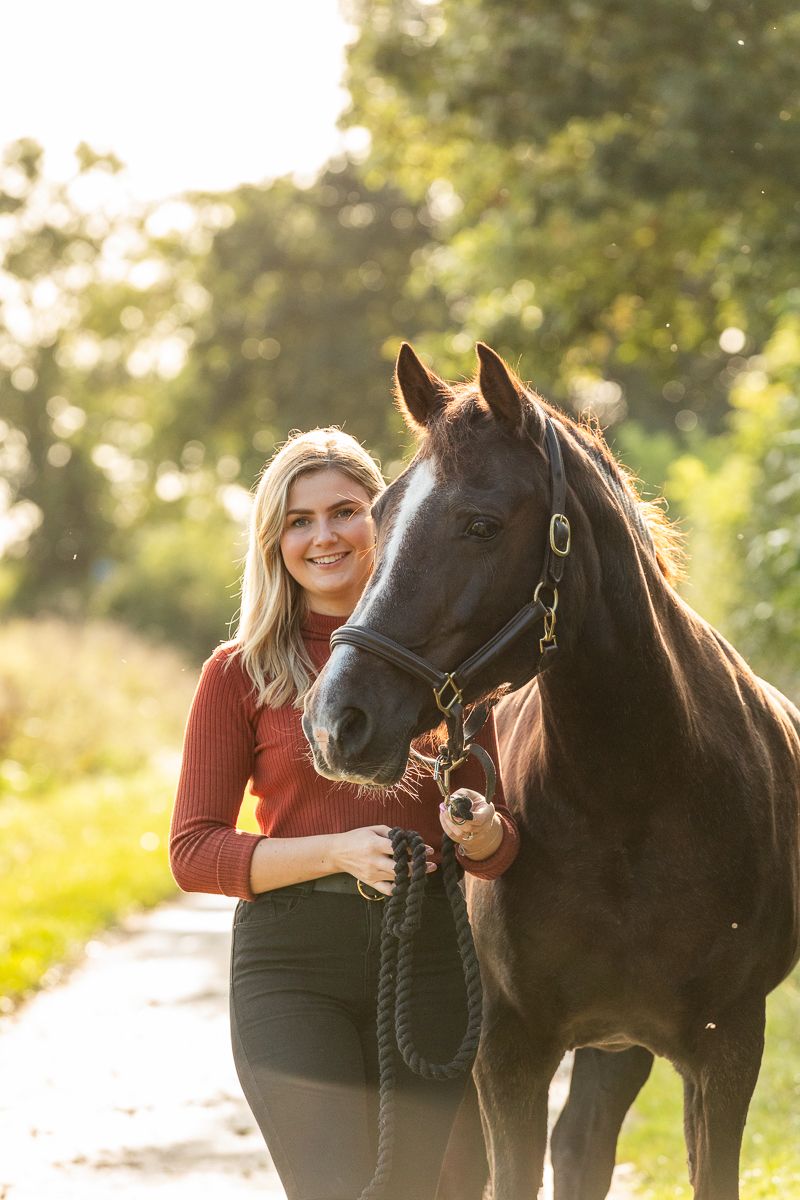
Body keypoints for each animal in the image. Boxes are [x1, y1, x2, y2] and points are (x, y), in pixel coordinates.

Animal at [302, 341, 800, 1200]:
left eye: (481, 524)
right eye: (379, 516)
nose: (338, 720)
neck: (634, 794)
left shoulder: (728, 1048)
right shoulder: (505, 1052)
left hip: (619, 1045)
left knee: (583, 1147)